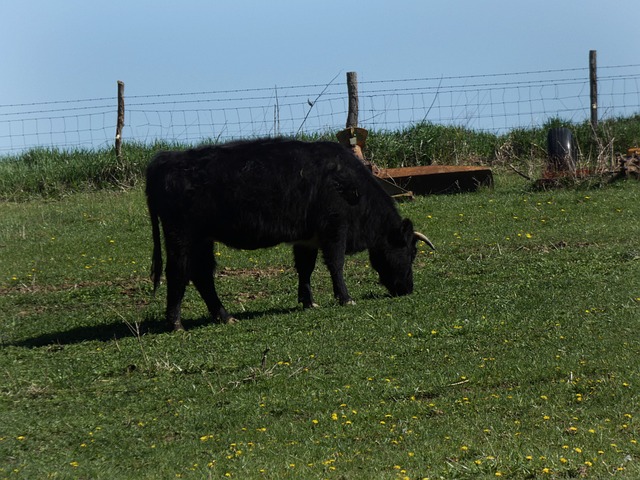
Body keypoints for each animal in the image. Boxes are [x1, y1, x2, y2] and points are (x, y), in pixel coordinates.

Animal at [145, 138, 434, 331]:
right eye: (411, 252)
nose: (407, 289)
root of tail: (167, 159)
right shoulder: (334, 228)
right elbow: (336, 264)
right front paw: (345, 298)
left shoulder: (306, 239)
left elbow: (305, 269)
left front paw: (308, 302)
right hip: (181, 235)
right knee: (178, 271)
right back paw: (176, 323)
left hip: (202, 239)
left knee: (202, 274)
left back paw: (224, 316)